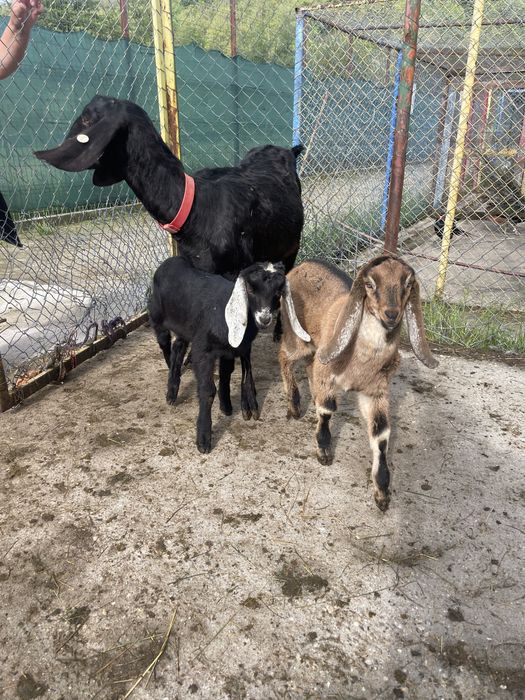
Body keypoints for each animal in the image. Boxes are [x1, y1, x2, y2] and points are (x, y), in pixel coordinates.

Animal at [149, 257, 309, 453]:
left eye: (279, 291)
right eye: (250, 289)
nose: (264, 319)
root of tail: (170, 261)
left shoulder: (232, 349)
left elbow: (227, 375)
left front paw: (227, 407)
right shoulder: (203, 350)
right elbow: (208, 390)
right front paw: (203, 439)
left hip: (185, 326)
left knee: (178, 346)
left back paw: (173, 387)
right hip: (157, 318)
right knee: (166, 345)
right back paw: (171, 388)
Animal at [279, 255, 438, 511]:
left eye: (407, 284)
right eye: (370, 284)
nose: (391, 314)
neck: (360, 360)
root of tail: (303, 264)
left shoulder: (374, 391)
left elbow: (381, 435)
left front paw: (382, 493)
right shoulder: (328, 372)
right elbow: (327, 410)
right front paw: (324, 452)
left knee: (309, 366)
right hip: (297, 335)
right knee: (284, 356)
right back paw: (294, 406)